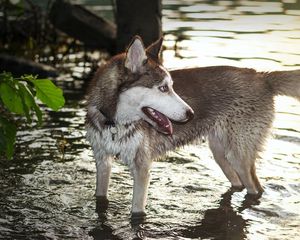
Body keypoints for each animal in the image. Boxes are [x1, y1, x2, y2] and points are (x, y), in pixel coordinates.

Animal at [85, 35, 300, 218]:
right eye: (163, 88)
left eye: (171, 86)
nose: (191, 114)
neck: (114, 123)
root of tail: (262, 76)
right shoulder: (102, 161)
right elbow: (100, 196)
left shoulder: (142, 168)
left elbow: (137, 212)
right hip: (220, 152)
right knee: (237, 182)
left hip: (239, 155)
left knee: (255, 188)